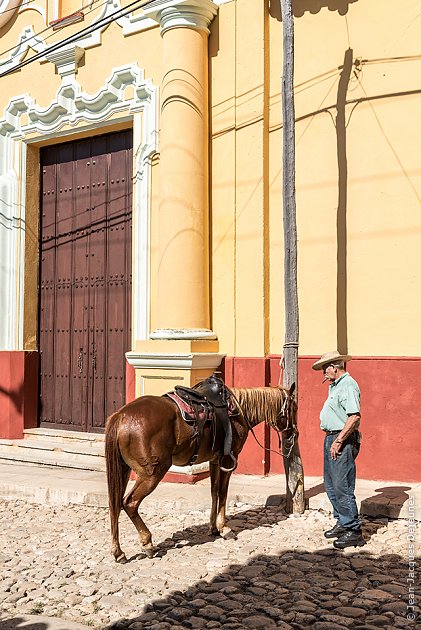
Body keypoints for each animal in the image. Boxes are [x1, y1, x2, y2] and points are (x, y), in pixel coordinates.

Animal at [104, 380, 296, 564]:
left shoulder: (214, 460)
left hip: (124, 469)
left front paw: (213, 527)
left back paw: (118, 552)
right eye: (294, 407)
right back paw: (147, 544)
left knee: (115, 504)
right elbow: (223, 492)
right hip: (152, 473)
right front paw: (224, 528)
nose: (294, 433)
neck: (240, 411)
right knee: (129, 503)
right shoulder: (229, 458)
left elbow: (214, 491)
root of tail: (121, 416)